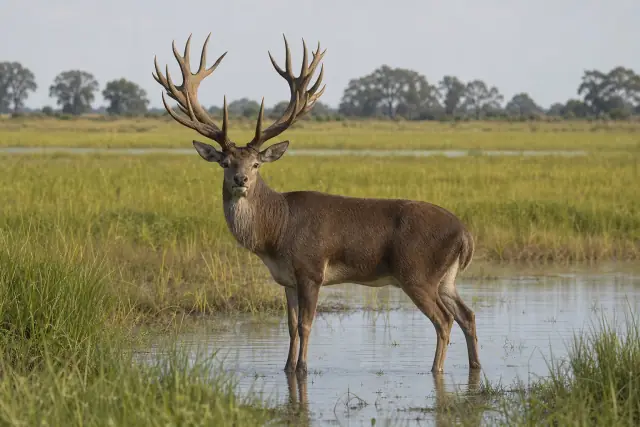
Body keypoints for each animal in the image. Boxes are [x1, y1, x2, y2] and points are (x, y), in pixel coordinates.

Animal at [152, 33, 481, 375]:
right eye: (225, 163)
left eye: (256, 164)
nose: (240, 180)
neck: (275, 234)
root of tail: (465, 235)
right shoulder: (286, 279)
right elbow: (291, 326)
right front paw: (286, 367)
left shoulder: (311, 269)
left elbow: (307, 325)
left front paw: (302, 368)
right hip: (445, 278)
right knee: (467, 315)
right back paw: (474, 366)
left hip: (417, 272)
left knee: (444, 320)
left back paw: (436, 369)